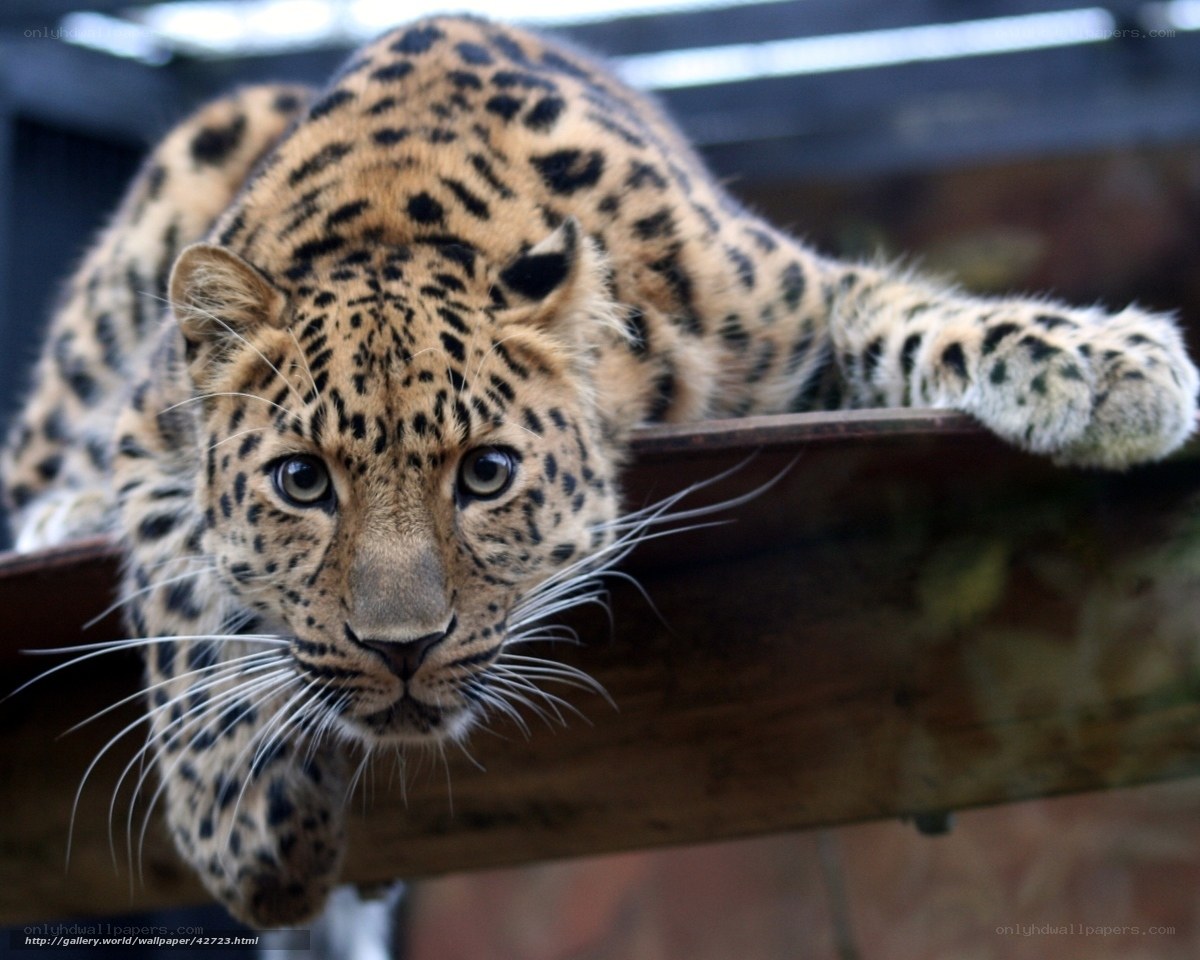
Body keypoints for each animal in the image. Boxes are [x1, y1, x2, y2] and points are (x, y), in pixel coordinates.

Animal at [2, 14, 1196, 928]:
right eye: (302, 483)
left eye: (486, 474)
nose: (401, 650)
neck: (395, 212)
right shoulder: (149, 433)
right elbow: (183, 608)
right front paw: (247, 831)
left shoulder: (797, 307)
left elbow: (915, 315)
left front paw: (1109, 367)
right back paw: (56, 509)